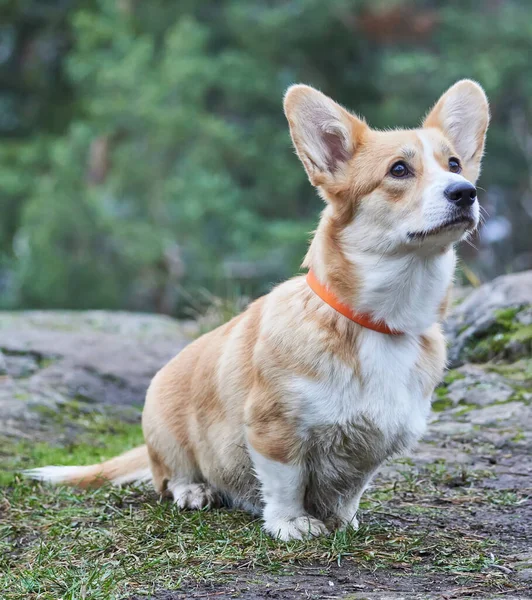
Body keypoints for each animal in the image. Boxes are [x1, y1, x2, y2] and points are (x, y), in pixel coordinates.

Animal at [26, 78, 490, 540]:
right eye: (398, 170)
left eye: (453, 163)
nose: (464, 192)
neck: (377, 322)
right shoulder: (273, 428)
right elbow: (286, 481)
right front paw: (291, 523)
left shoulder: (374, 445)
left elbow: (350, 489)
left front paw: (342, 520)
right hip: (164, 428)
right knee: (169, 476)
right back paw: (194, 490)